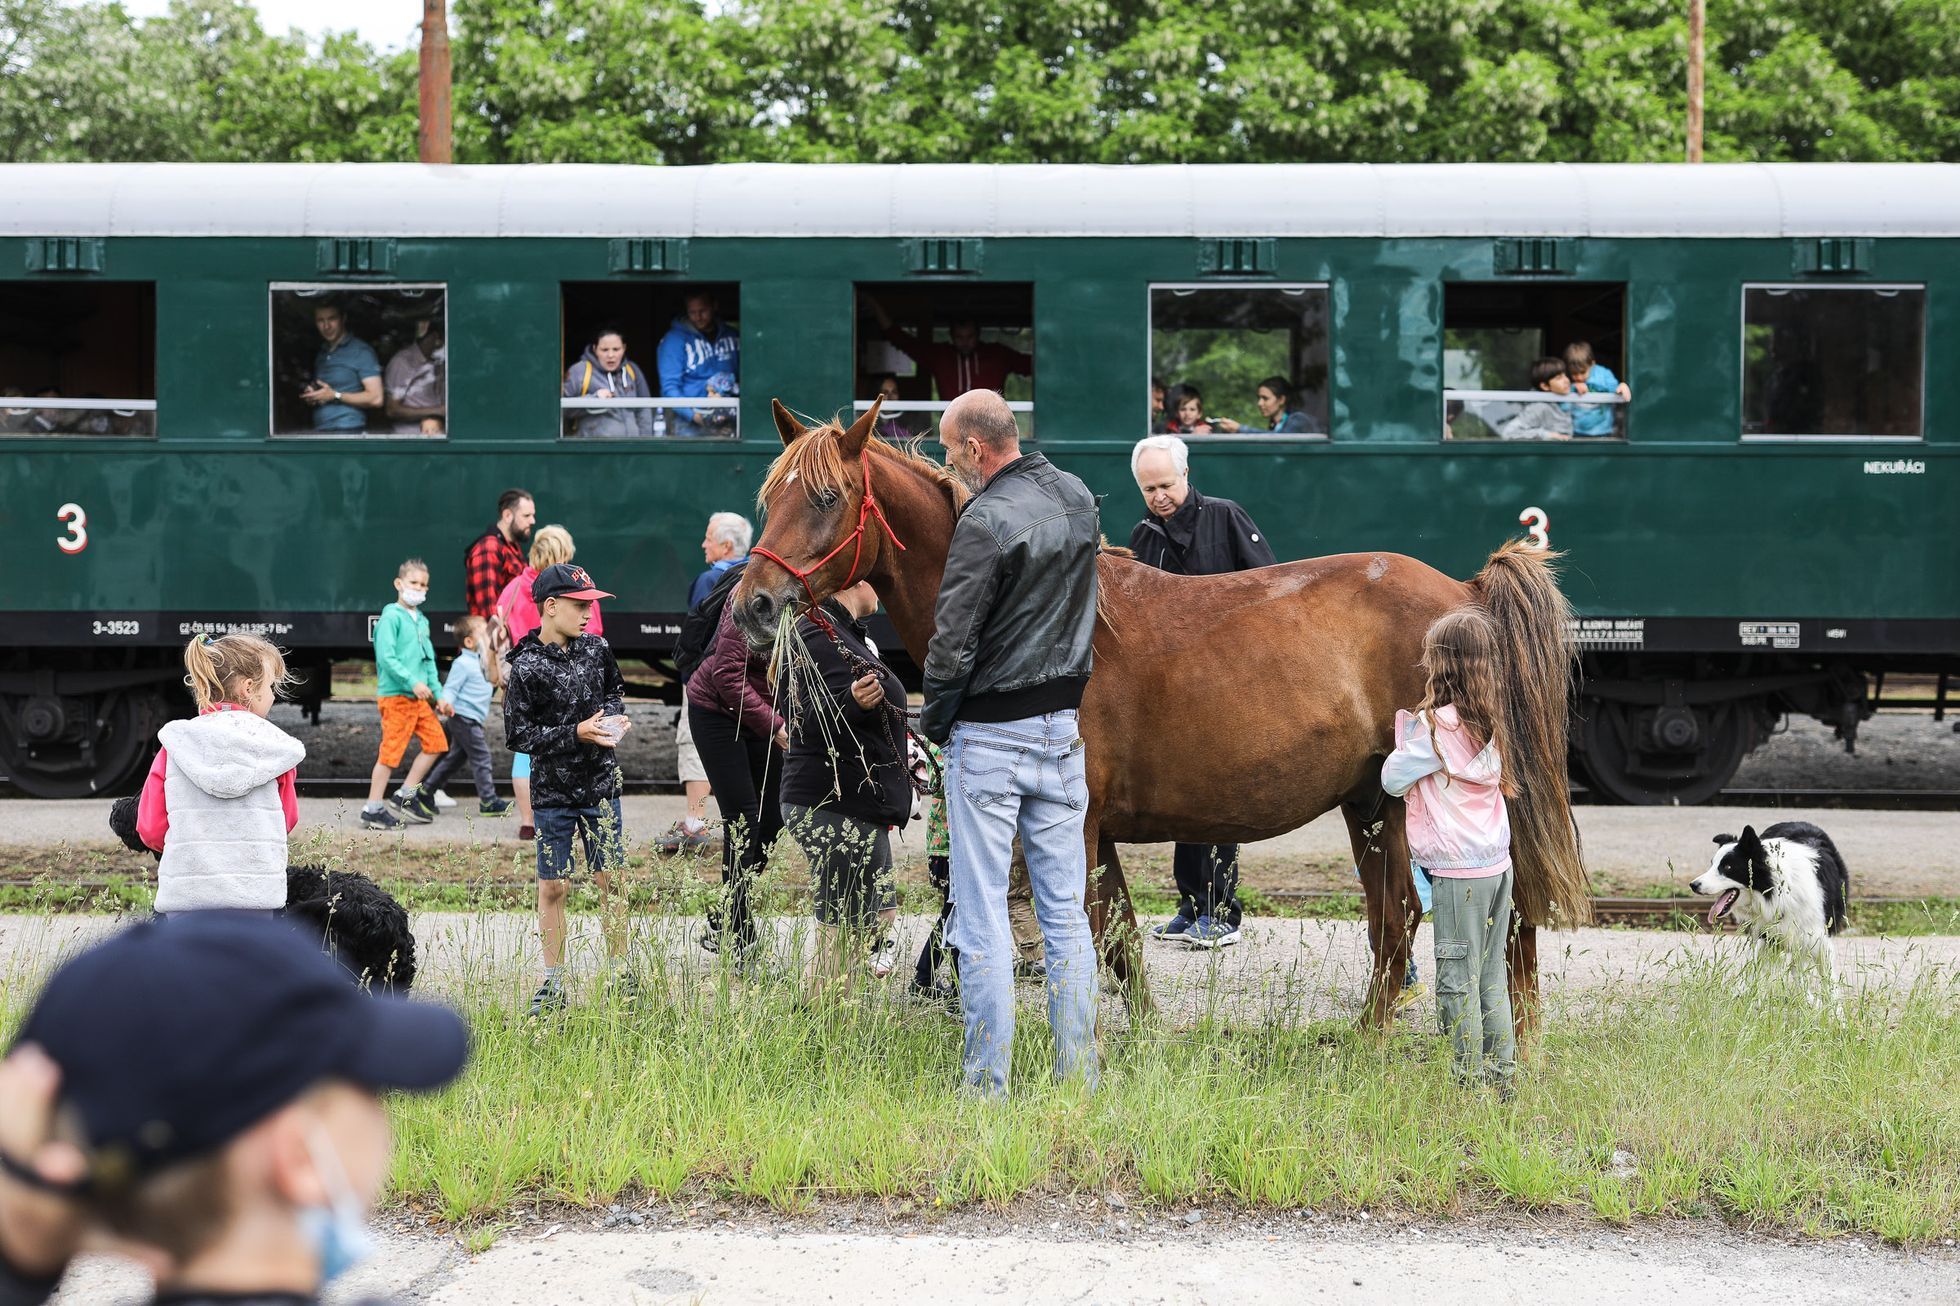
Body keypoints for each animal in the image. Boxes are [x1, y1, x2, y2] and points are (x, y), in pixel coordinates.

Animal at [736, 396, 1591, 1027]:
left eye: (825, 496)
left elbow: (1084, 934)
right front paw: (1145, 1038)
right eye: (768, 497)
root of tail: (1465, 593)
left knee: (1503, 916)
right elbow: (1116, 938)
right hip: (1374, 805)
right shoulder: (1099, 832)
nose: (751, 605)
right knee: (1400, 919)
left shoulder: (1070, 826)